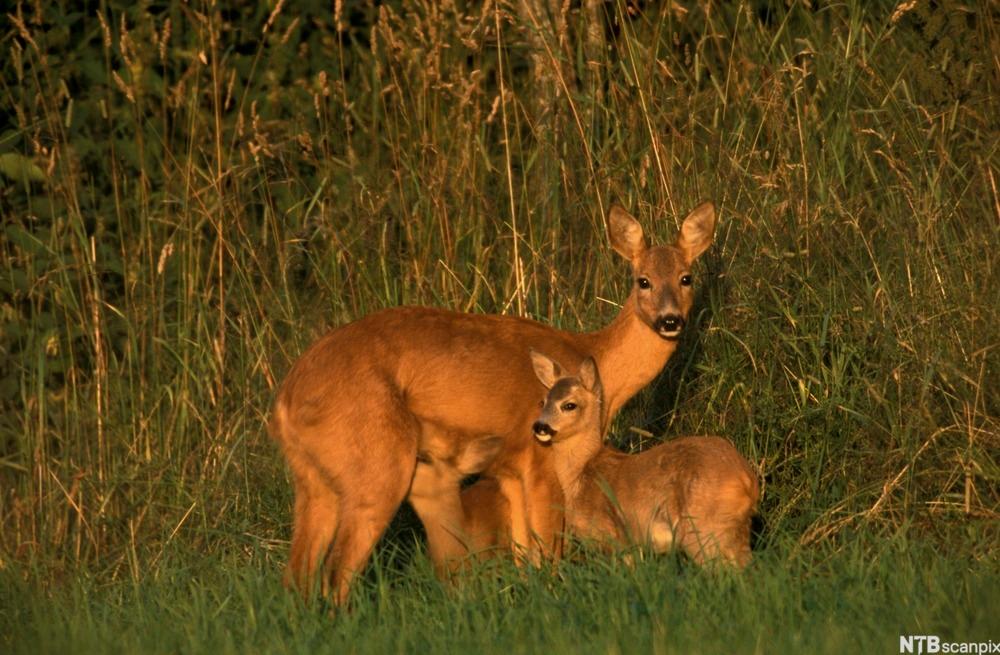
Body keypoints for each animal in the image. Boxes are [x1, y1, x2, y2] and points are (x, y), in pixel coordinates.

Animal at [270, 201, 716, 604]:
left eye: (686, 277)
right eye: (642, 280)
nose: (670, 320)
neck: (596, 362)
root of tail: (285, 400)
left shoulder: (511, 472)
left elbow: (525, 555)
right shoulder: (541, 463)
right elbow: (547, 551)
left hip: (314, 478)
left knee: (297, 575)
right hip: (376, 462)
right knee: (336, 572)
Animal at [532, 354, 756, 568]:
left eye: (569, 405)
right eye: (543, 402)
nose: (540, 426)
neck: (581, 474)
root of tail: (747, 480)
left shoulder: (615, 537)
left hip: (704, 528)